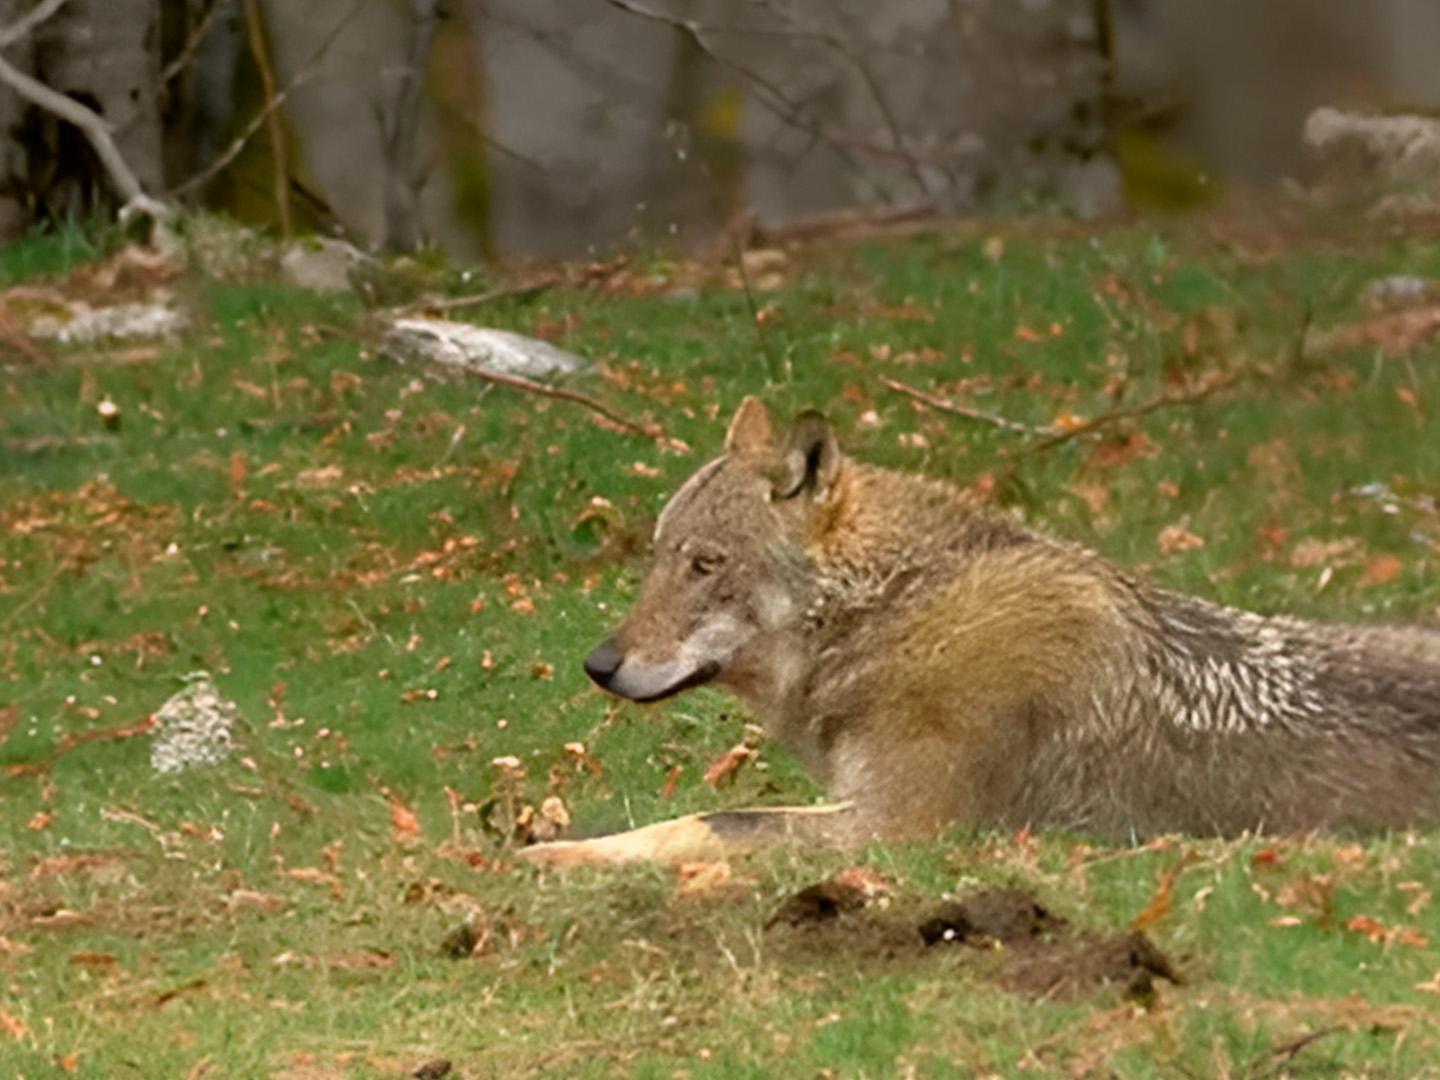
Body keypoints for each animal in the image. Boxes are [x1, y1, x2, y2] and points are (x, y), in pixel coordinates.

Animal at [524, 400, 1440, 869]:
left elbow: (701, 823)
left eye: (706, 564)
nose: (597, 664)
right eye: (658, 556)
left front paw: (553, 864)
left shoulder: (897, 827)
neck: (892, 618)